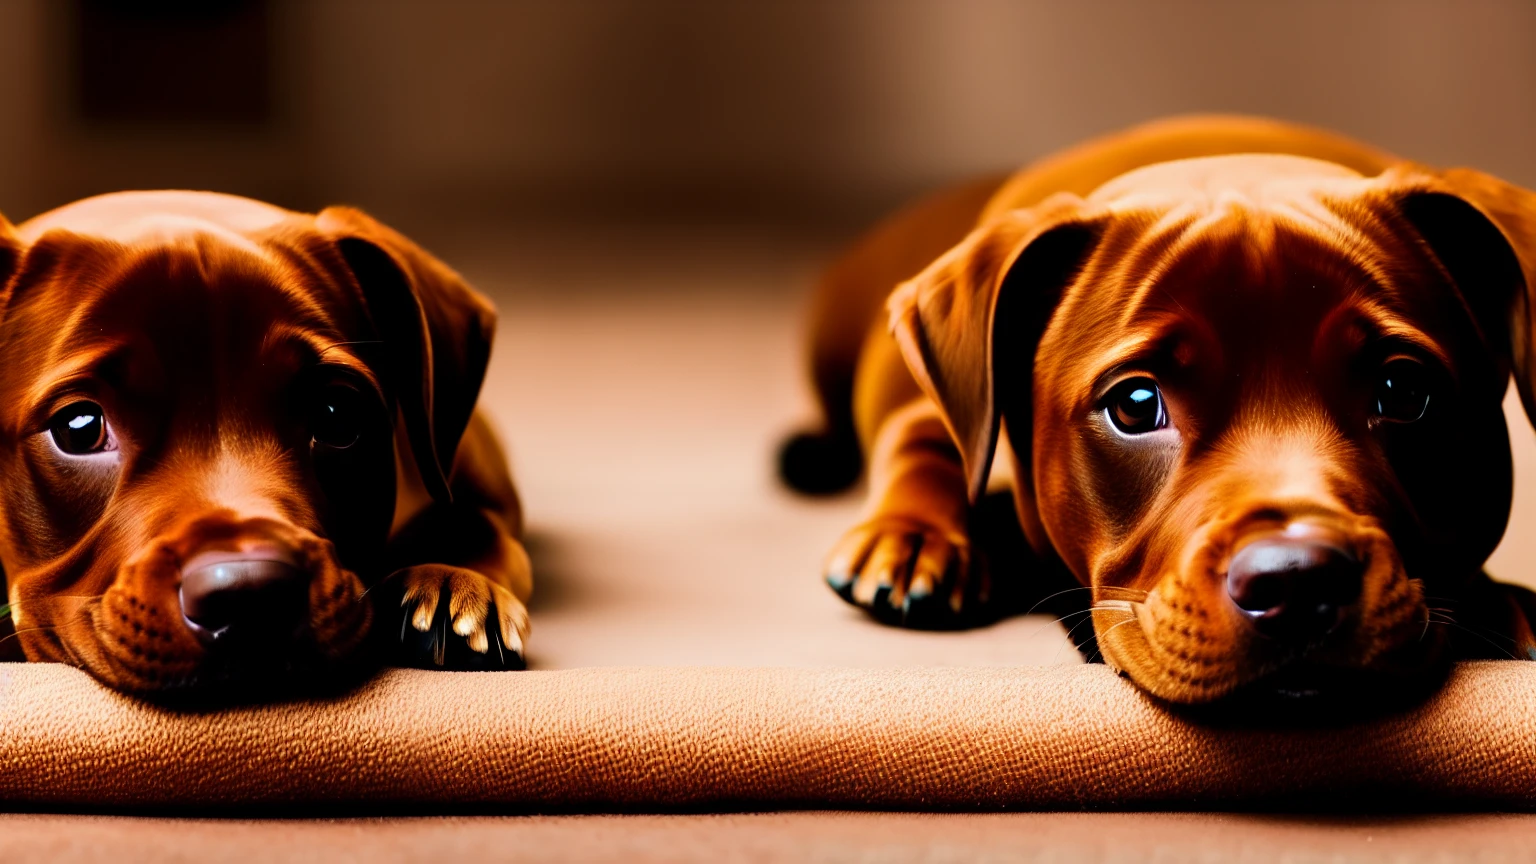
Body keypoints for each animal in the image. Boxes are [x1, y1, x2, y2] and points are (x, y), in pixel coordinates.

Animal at [786, 114, 1536, 704]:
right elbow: (921, 437)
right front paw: (912, 536)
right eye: (1136, 404)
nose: (1297, 581)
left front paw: (1499, 602)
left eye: (1403, 392)